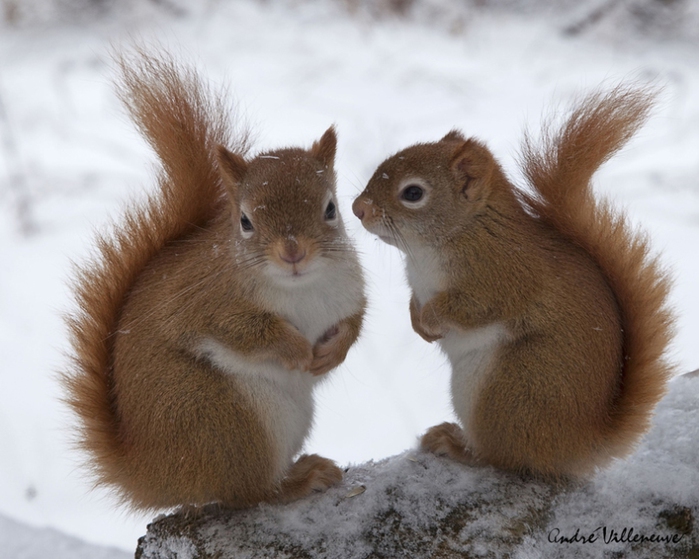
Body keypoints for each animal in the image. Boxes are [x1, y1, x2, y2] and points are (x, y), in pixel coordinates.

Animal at [63, 52, 370, 512]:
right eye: (244, 221)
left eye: (331, 208)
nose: (293, 252)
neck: (299, 287)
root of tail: (153, 475)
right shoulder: (202, 302)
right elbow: (243, 330)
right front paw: (297, 349)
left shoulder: (349, 292)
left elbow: (354, 322)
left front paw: (332, 352)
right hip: (225, 420)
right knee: (249, 492)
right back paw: (298, 481)